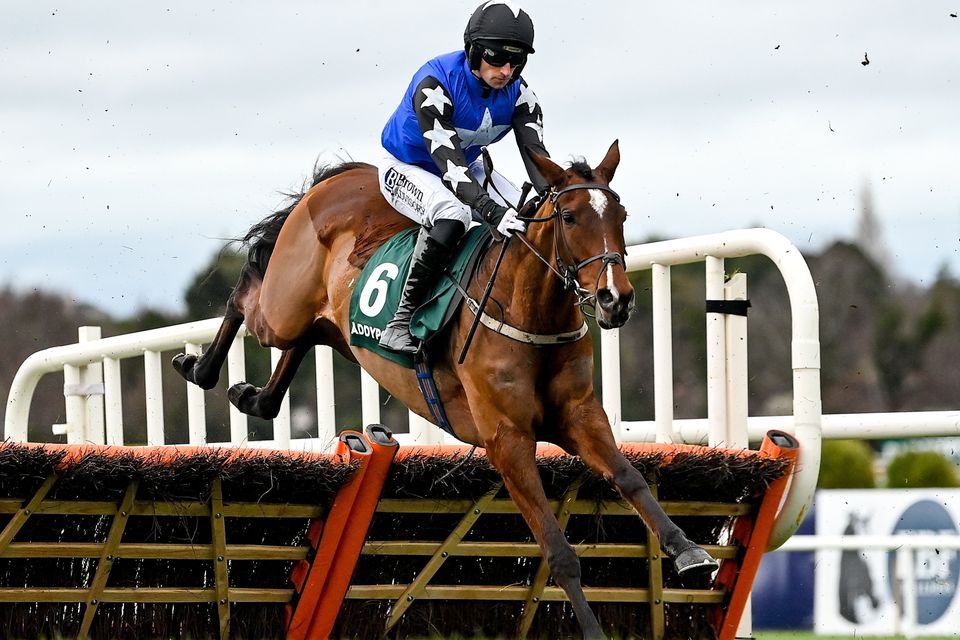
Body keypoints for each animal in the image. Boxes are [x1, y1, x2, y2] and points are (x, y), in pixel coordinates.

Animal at [172, 141, 716, 640]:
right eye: (569, 215)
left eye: (621, 214)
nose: (614, 298)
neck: (527, 311)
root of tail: (338, 180)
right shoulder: (507, 439)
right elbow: (557, 550)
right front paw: (592, 630)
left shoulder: (579, 416)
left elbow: (630, 478)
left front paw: (688, 551)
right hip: (282, 307)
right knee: (246, 297)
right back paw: (197, 366)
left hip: (333, 327)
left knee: (299, 345)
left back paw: (251, 396)